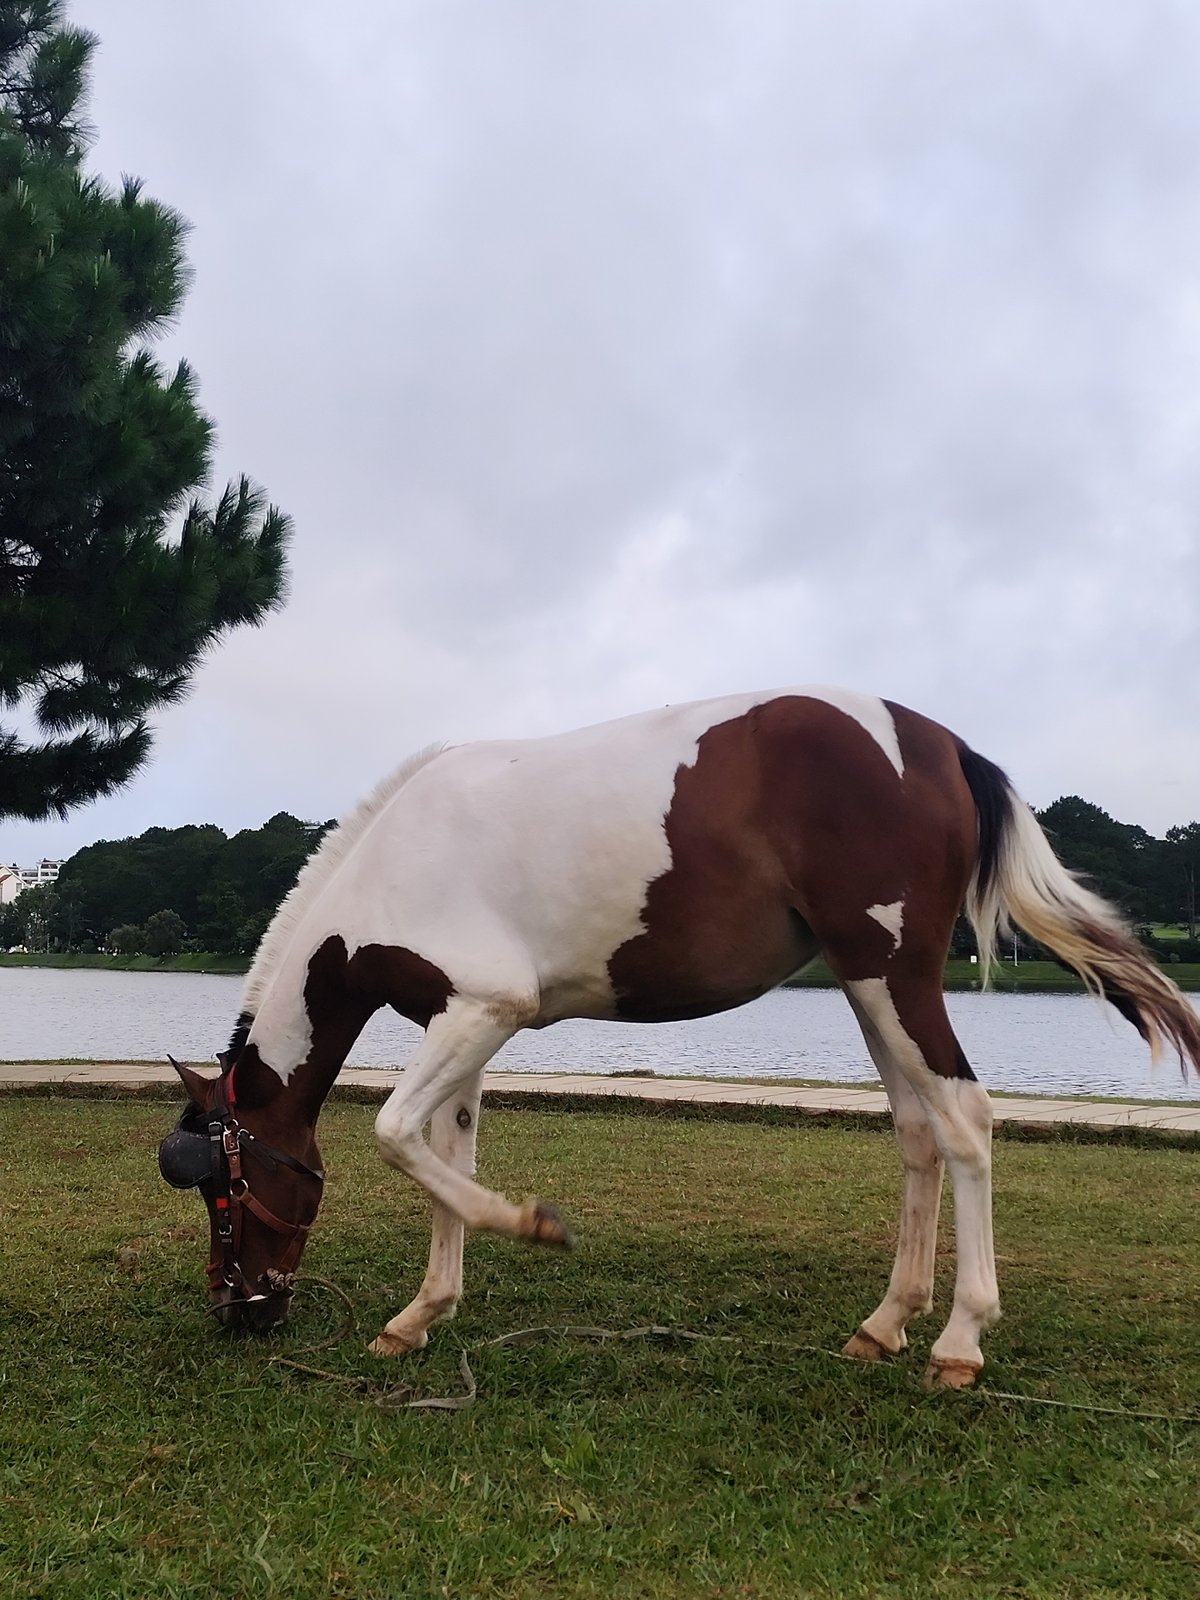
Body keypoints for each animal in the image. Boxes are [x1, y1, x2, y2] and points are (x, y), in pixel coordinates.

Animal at [158, 687, 1200, 1388]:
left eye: (219, 1186)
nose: (235, 1307)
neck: (394, 864)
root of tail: (936, 743)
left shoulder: (484, 1011)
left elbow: (396, 1137)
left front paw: (532, 1225)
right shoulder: (456, 1024)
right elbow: (441, 1154)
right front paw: (423, 1313)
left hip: (893, 977)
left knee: (965, 1123)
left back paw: (960, 1340)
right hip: (868, 990)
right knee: (917, 1132)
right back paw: (887, 1321)